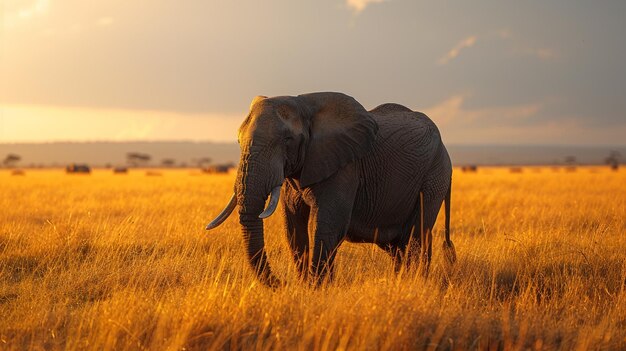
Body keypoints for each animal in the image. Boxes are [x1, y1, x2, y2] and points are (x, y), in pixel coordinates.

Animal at [205, 92, 454, 288]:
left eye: (287, 140)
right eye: (238, 142)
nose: (282, 283)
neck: (304, 105)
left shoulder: (345, 166)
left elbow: (327, 224)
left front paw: (315, 289)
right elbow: (293, 226)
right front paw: (307, 286)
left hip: (434, 175)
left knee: (416, 236)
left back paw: (413, 283)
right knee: (400, 245)